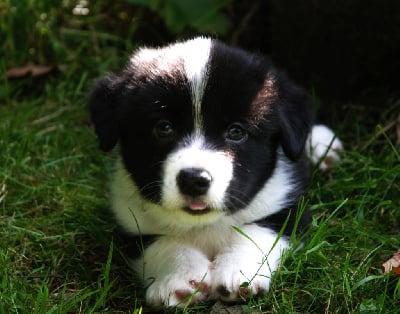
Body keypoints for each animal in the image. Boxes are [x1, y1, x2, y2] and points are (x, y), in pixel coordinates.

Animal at [89, 36, 342, 306]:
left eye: (236, 131)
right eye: (164, 128)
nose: (194, 180)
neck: (205, 225)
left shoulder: (287, 207)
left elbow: (254, 232)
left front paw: (238, 273)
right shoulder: (132, 223)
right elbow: (165, 243)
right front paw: (178, 279)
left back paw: (322, 145)